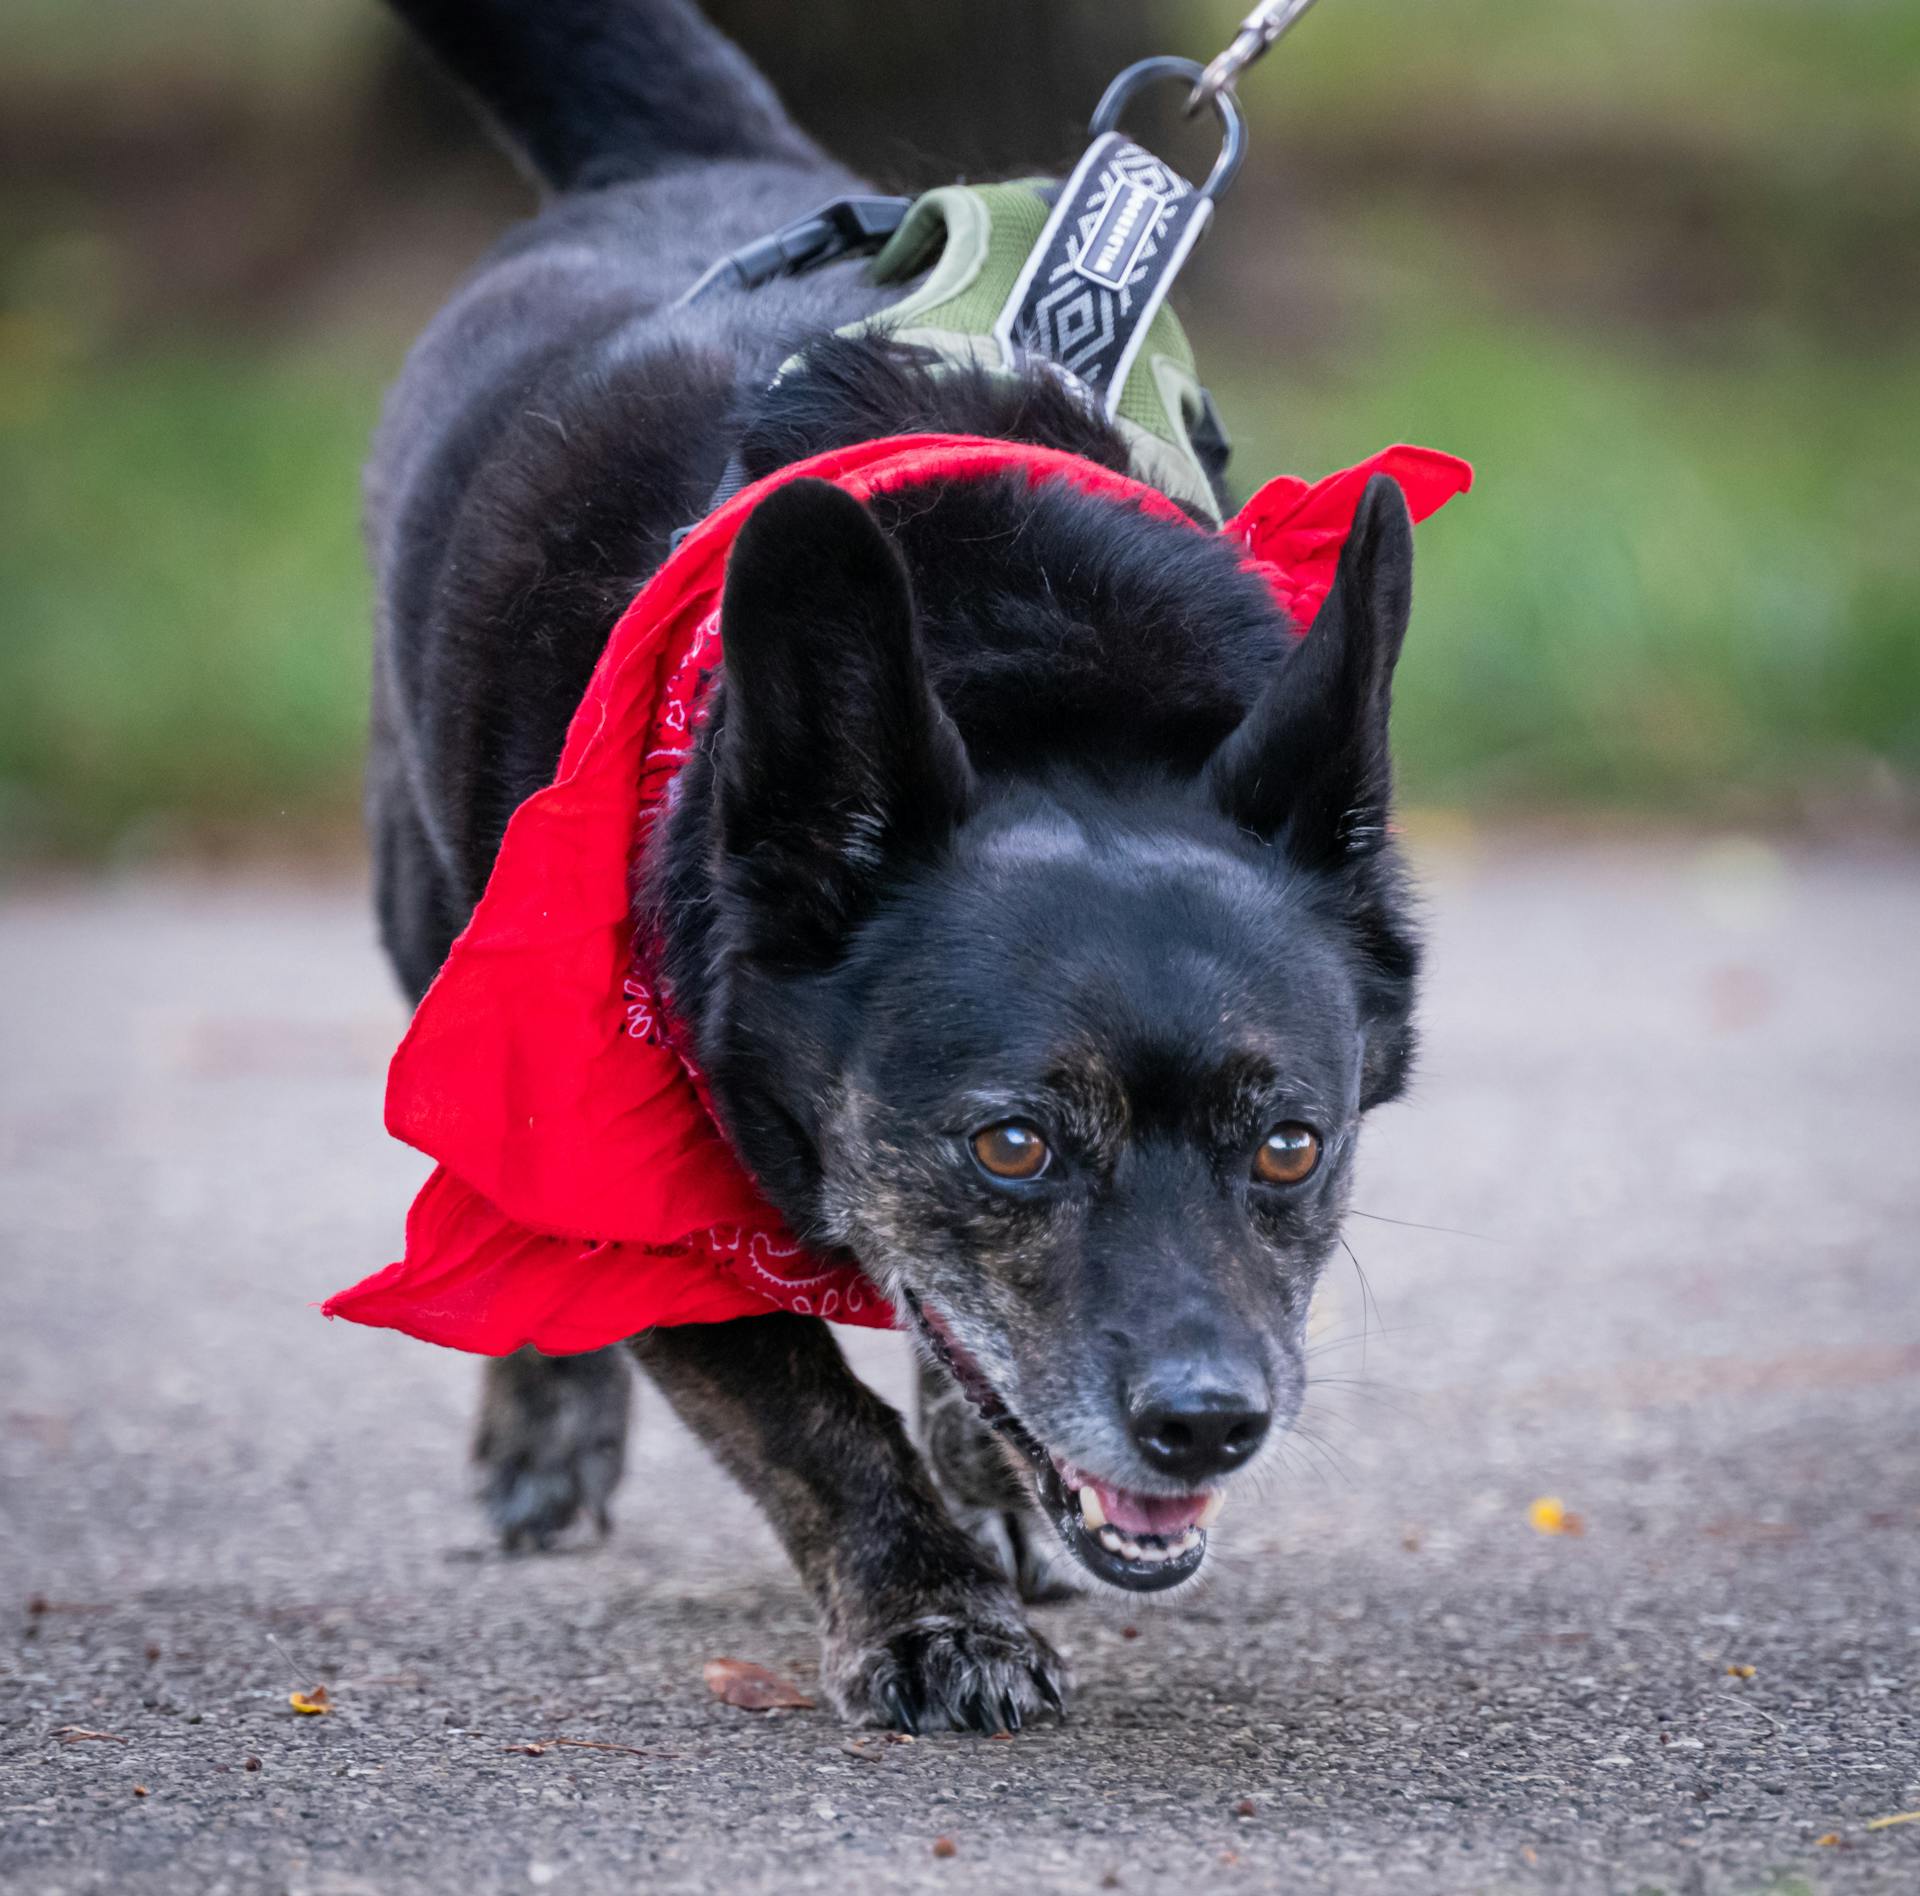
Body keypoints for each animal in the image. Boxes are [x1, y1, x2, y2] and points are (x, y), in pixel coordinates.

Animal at [374, 0, 1420, 1734]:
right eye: (1009, 1146)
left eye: (1291, 1147)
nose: (1209, 1423)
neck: (1031, 672)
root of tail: (689, 159)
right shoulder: (631, 1199)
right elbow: (804, 1413)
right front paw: (934, 1612)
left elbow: (943, 1356)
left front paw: (982, 1483)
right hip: (433, 929)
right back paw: (546, 1431)